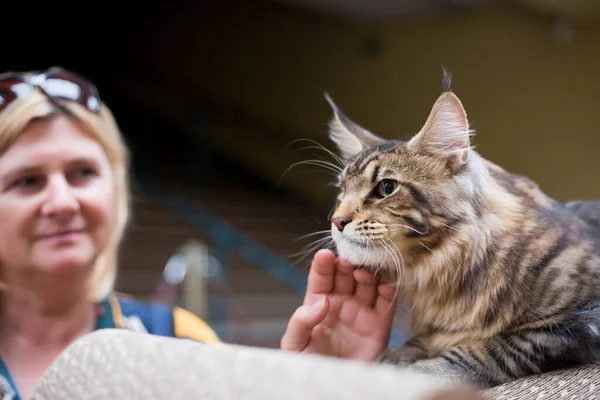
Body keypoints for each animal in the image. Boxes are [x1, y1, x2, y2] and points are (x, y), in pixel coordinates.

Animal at [326, 69, 600, 390]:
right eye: (342, 191)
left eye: (387, 187)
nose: (337, 220)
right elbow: (421, 341)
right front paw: (397, 356)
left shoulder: (577, 322)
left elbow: (486, 350)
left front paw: (418, 372)